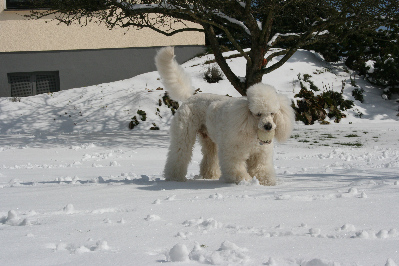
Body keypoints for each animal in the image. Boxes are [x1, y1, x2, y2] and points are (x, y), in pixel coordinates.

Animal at [155, 47, 296, 185]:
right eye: (258, 114)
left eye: (272, 113)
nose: (268, 126)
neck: (249, 126)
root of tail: (190, 97)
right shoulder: (234, 150)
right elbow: (236, 167)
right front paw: (245, 180)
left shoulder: (260, 154)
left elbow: (260, 168)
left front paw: (267, 182)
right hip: (184, 131)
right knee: (179, 152)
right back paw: (175, 177)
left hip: (208, 138)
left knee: (210, 155)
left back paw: (210, 175)